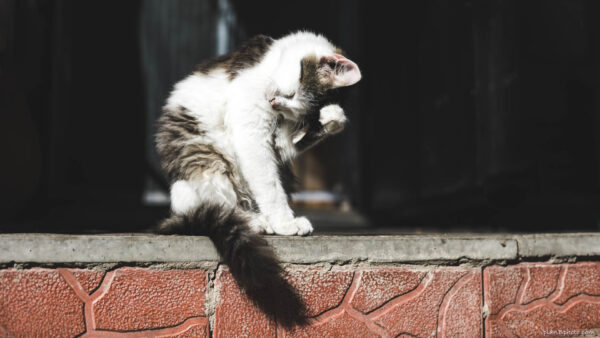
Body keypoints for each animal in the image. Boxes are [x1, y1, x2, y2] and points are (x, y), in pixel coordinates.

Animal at [156, 31, 360, 324]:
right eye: (291, 93)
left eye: (293, 107)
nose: (273, 102)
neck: (272, 59)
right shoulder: (250, 126)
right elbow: (268, 184)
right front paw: (285, 223)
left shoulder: (280, 140)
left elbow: (291, 145)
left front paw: (333, 117)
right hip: (206, 161)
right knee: (220, 204)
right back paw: (255, 221)